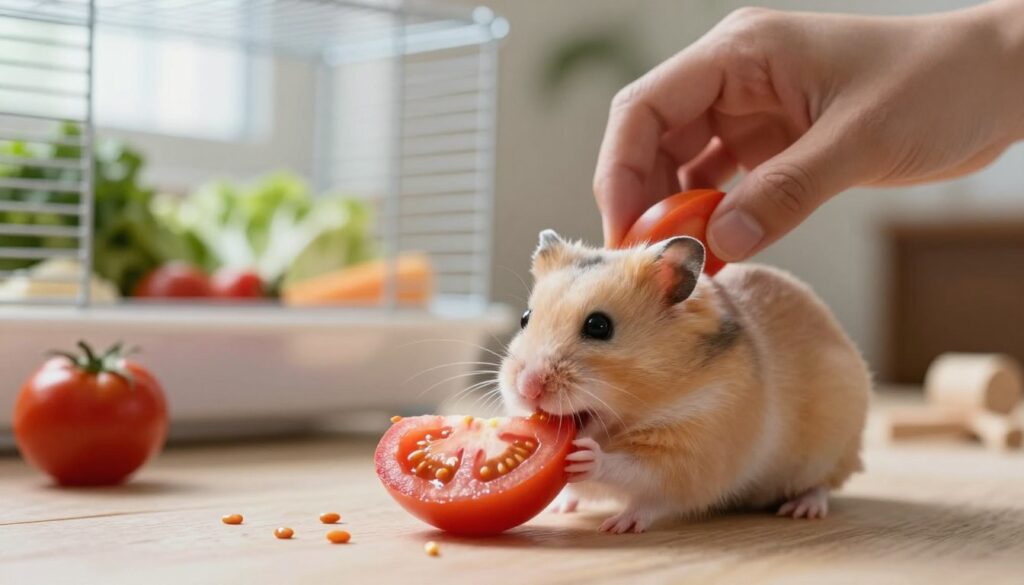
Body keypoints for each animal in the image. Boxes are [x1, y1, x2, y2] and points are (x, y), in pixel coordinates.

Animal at [497, 230, 870, 533]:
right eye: (525, 318)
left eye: (599, 326)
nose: (527, 388)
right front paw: (562, 505)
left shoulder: (694, 451)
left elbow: (640, 479)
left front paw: (601, 489)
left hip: (831, 446)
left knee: (822, 484)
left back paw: (802, 509)